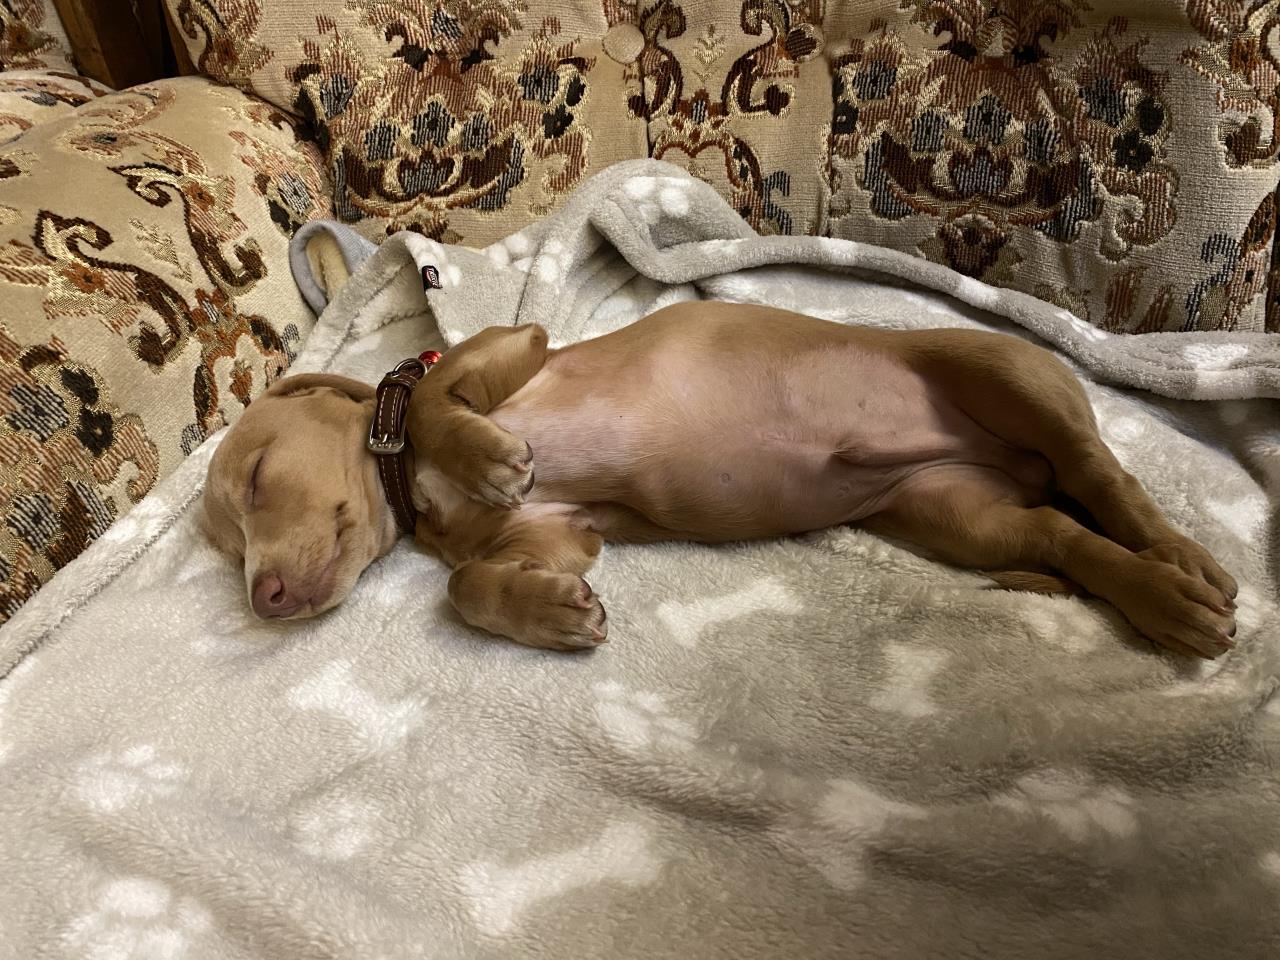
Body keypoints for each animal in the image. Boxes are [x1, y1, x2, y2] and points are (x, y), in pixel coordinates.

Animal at [202, 301, 1238, 659]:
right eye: (227, 547)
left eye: (255, 478)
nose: (264, 600)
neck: (416, 494)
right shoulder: (557, 529)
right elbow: (466, 586)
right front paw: (554, 614)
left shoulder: (513, 347)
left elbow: (428, 401)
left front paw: (487, 454)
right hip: (959, 514)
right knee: (1065, 533)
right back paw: (1154, 595)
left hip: (1003, 374)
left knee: (1105, 476)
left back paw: (1184, 570)